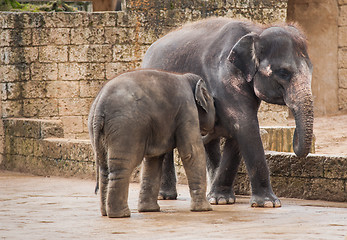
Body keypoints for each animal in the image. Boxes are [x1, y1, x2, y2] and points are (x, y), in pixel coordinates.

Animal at [88, 69, 215, 218]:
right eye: (213, 101)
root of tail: (99, 105)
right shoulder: (187, 109)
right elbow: (192, 152)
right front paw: (205, 209)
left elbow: (154, 159)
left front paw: (149, 210)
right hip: (126, 127)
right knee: (122, 166)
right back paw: (121, 215)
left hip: (99, 129)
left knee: (104, 168)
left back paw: (105, 213)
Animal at [142, 18, 316, 208]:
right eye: (284, 73)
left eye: (311, 70)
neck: (257, 30)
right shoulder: (225, 76)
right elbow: (245, 124)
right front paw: (269, 203)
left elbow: (238, 130)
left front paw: (222, 200)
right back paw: (165, 196)